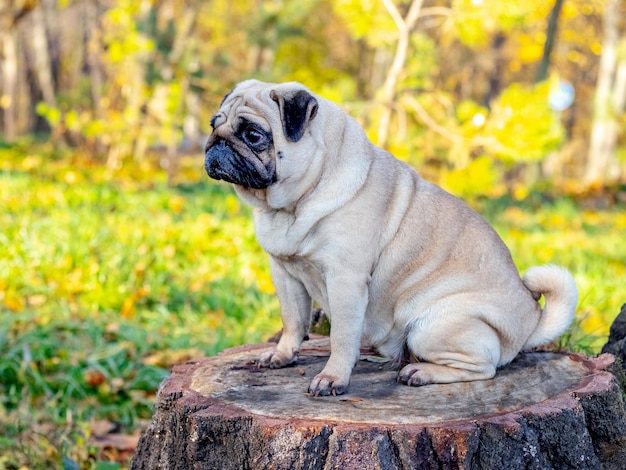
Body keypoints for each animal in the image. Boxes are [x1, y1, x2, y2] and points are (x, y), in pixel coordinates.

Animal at [204, 80, 576, 396]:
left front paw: (332, 378)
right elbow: (292, 321)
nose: (216, 141)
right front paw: (282, 355)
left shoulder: (346, 281)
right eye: (213, 124)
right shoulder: (285, 274)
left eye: (253, 135)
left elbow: (341, 336)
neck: (291, 206)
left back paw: (421, 372)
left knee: (485, 368)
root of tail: (531, 320)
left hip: (431, 326)